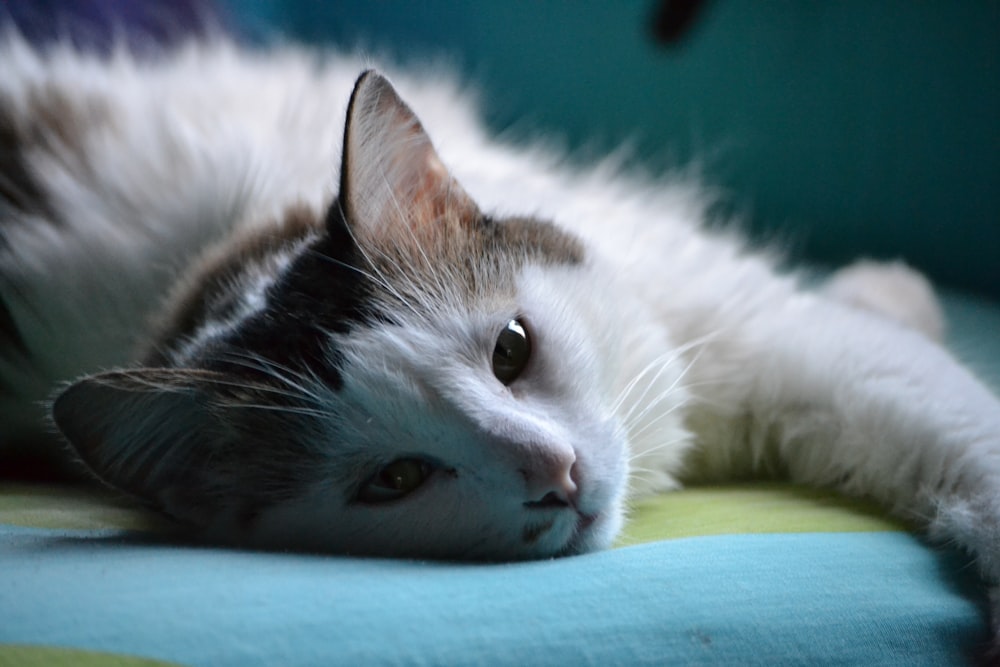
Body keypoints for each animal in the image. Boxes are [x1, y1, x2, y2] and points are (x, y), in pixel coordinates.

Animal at [1, 32, 1000, 648]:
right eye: (396, 479)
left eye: (511, 351)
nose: (557, 473)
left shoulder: (759, 332)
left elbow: (947, 416)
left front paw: (894, 288)